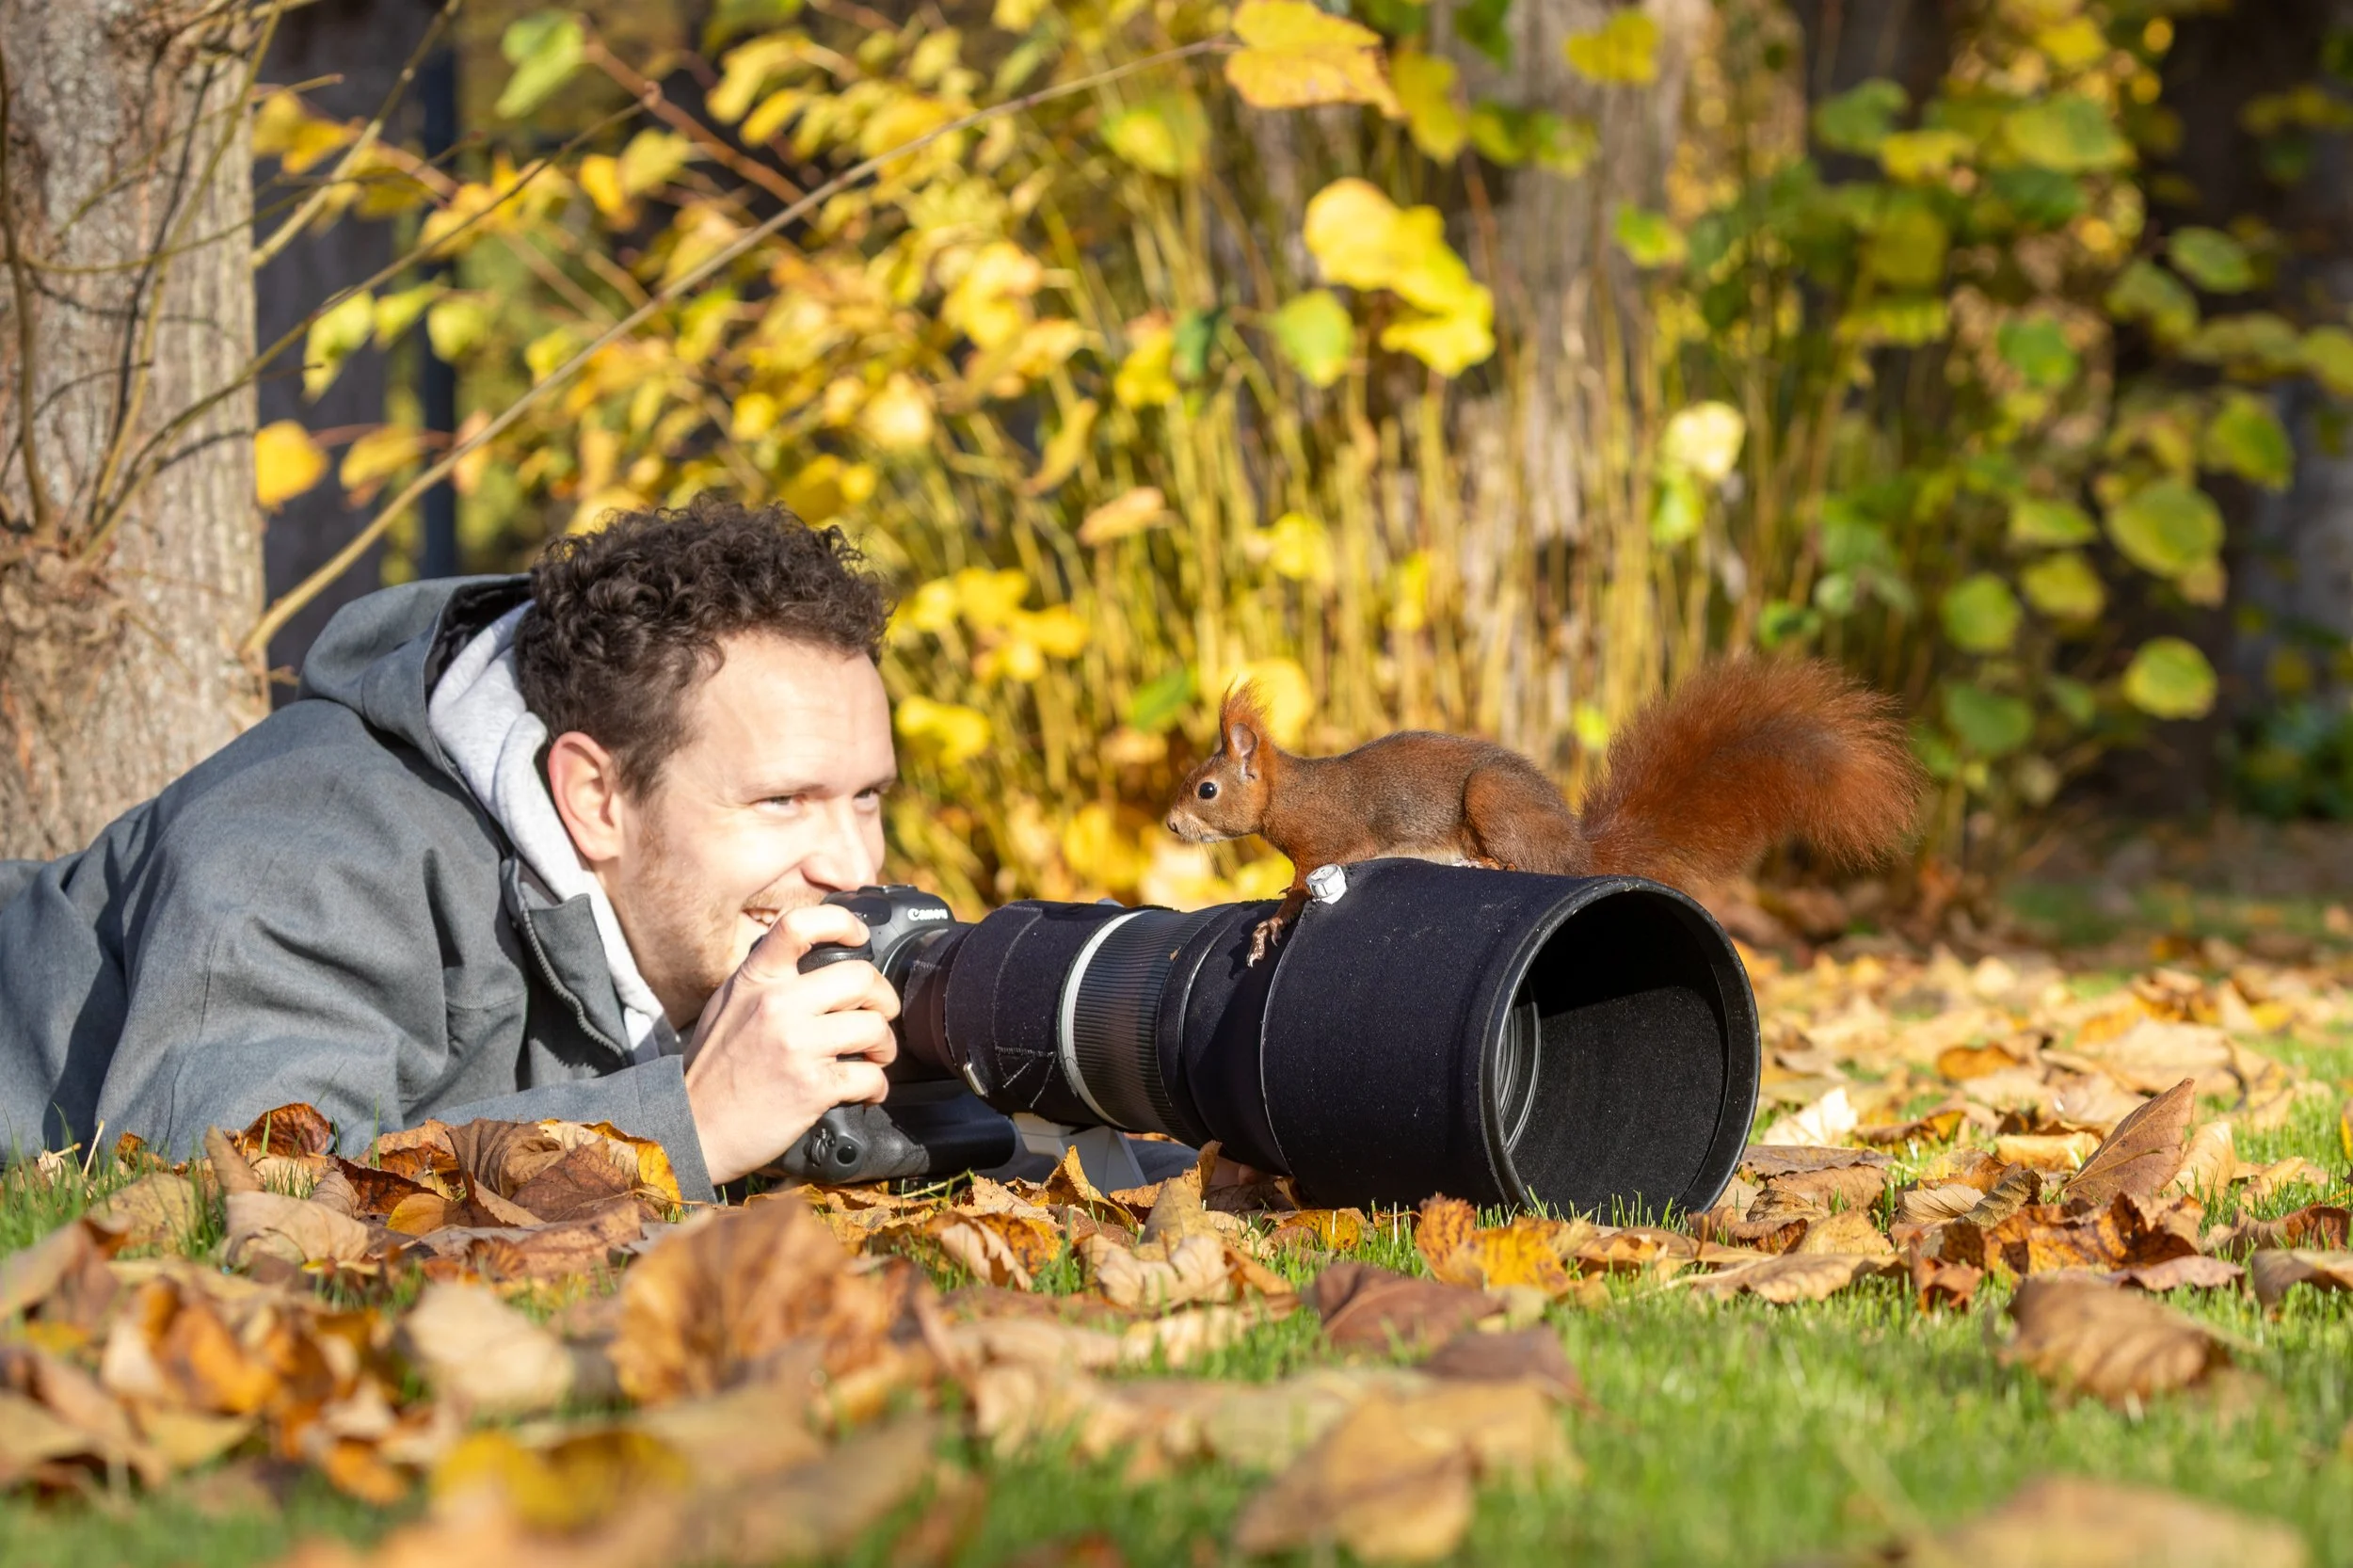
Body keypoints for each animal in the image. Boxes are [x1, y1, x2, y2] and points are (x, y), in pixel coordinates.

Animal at [1165, 657, 1927, 962]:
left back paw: (1483, 861)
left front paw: (1271, 925)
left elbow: (1306, 885)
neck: (1289, 793)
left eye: (1206, 790)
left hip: (1492, 801)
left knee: (1521, 859)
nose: (1171, 825)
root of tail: (1578, 848)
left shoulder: (1332, 841)